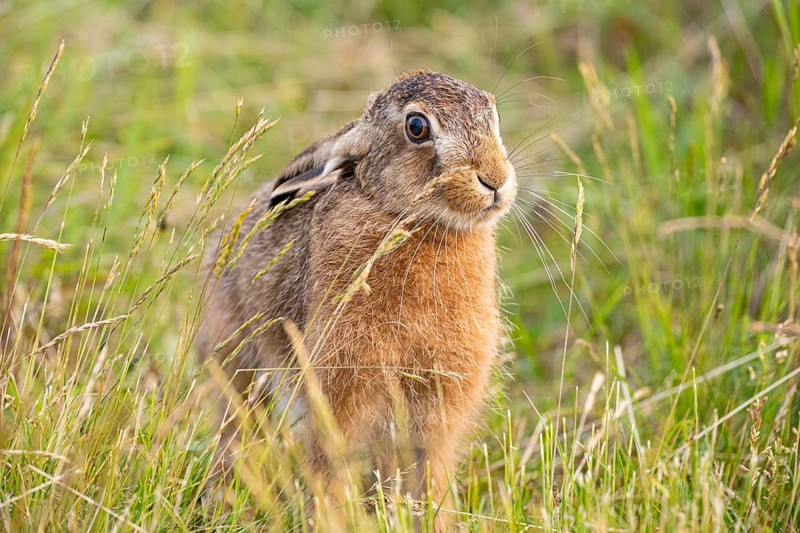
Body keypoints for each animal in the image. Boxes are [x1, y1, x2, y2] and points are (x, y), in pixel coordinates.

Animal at [197, 69, 517, 527]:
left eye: (493, 114)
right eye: (417, 127)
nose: (495, 180)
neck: (403, 216)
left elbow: (431, 476)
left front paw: (433, 522)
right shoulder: (339, 388)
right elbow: (329, 468)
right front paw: (327, 521)